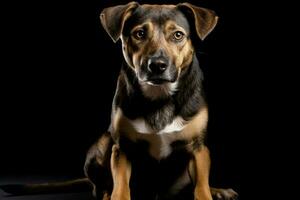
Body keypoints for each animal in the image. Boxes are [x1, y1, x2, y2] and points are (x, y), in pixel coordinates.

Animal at [83, 1, 238, 200]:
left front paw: (210, 192)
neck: (159, 94)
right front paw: (116, 194)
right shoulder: (122, 148)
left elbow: (201, 188)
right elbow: (121, 188)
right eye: (139, 34)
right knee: (102, 188)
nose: (157, 65)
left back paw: (219, 191)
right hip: (103, 142)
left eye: (178, 35)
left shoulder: (198, 149)